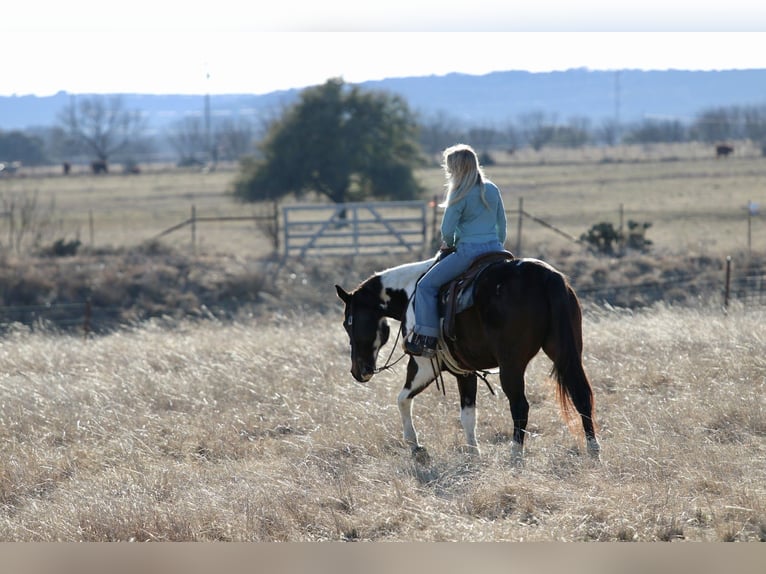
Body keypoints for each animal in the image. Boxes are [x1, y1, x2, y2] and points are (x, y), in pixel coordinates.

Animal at [335, 255, 601, 464]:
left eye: (349, 323)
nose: (358, 371)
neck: (412, 293)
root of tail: (546, 277)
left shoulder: (423, 365)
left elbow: (402, 399)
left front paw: (416, 447)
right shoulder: (465, 371)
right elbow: (468, 415)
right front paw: (474, 453)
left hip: (511, 364)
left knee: (520, 406)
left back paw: (515, 456)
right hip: (567, 353)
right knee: (581, 396)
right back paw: (594, 452)